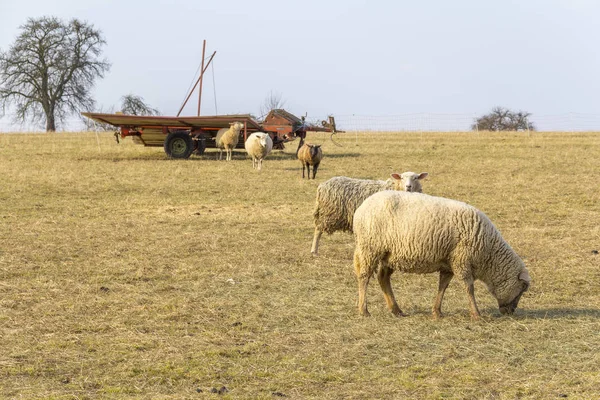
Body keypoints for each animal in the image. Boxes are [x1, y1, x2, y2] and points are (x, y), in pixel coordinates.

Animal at [352, 190, 528, 318]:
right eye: (523, 289)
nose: (511, 312)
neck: (489, 255)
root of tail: (362, 207)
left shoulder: (449, 264)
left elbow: (442, 287)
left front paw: (437, 311)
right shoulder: (461, 262)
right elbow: (469, 288)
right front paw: (476, 314)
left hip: (389, 255)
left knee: (383, 278)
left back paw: (396, 310)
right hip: (370, 248)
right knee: (364, 277)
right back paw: (364, 310)